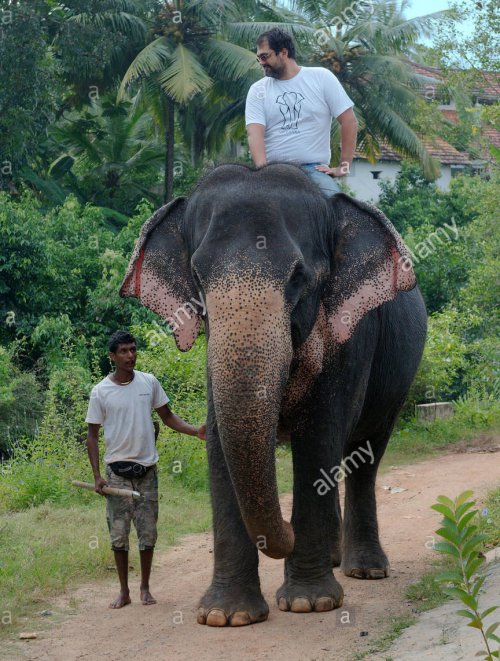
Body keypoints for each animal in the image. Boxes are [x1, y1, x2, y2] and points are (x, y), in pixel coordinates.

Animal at [120, 162, 426, 628]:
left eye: (299, 277)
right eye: (198, 278)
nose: (286, 535)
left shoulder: (351, 338)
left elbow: (318, 437)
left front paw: (309, 603)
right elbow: (221, 445)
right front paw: (225, 616)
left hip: (397, 380)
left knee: (364, 456)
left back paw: (365, 570)